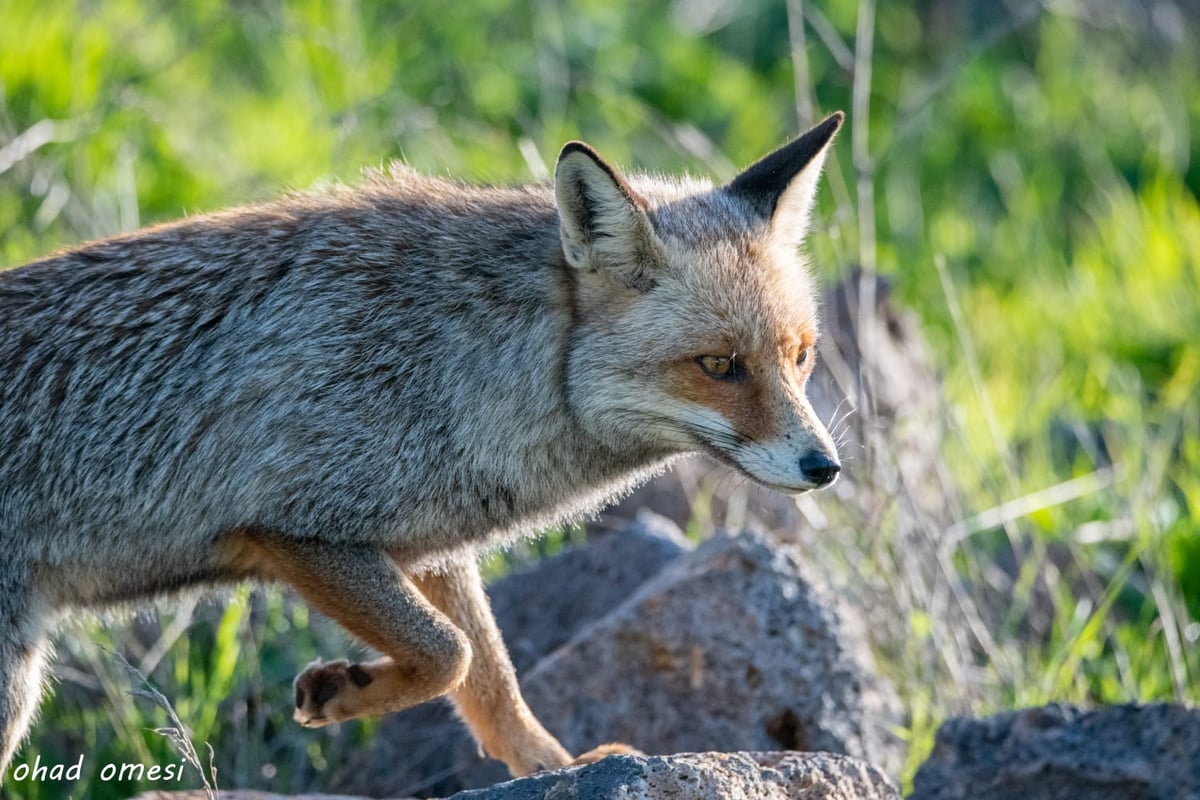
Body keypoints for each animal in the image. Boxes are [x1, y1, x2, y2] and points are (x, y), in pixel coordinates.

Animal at [0, 110, 844, 782]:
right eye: (719, 366)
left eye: (801, 357)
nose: (825, 467)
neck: (454, 362)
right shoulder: (299, 531)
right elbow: (450, 653)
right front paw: (345, 692)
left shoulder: (428, 539)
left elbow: (490, 677)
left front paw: (553, 765)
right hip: (15, 690)